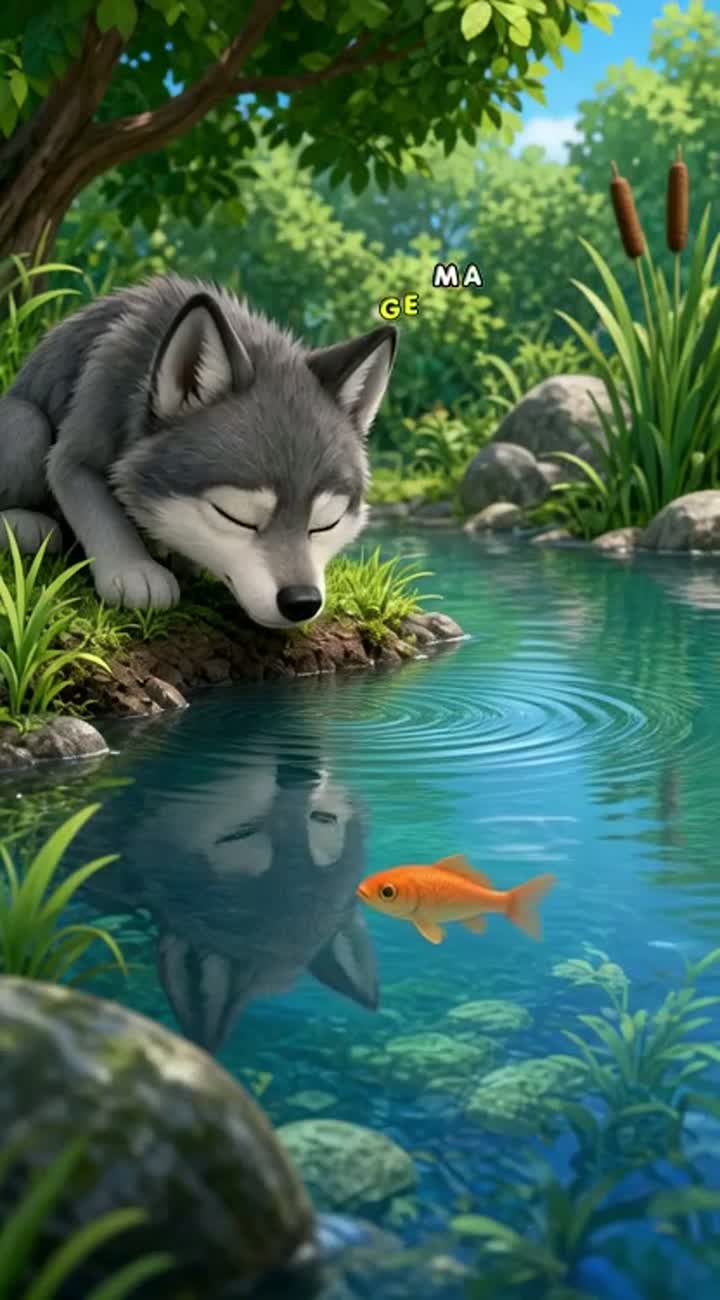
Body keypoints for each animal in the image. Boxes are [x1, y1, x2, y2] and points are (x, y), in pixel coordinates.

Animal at [0, 274, 397, 627]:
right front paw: (134, 570)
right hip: (28, 425)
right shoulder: (80, 441)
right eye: (236, 516)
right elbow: (98, 508)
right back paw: (27, 525)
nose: (302, 601)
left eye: (325, 523)